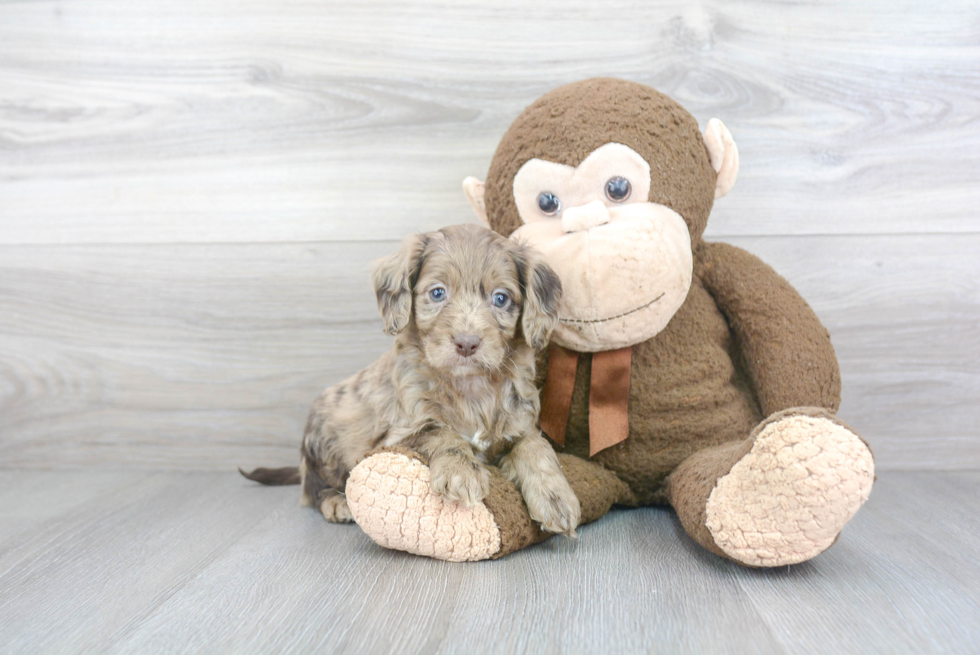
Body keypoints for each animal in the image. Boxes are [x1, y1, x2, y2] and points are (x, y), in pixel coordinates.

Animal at [243, 226, 580, 540]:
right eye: (437, 293)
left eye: (500, 298)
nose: (467, 343)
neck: (470, 387)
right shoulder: (397, 434)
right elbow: (438, 432)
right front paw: (461, 471)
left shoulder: (520, 424)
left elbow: (535, 447)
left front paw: (557, 498)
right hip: (321, 441)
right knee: (312, 490)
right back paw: (336, 503)